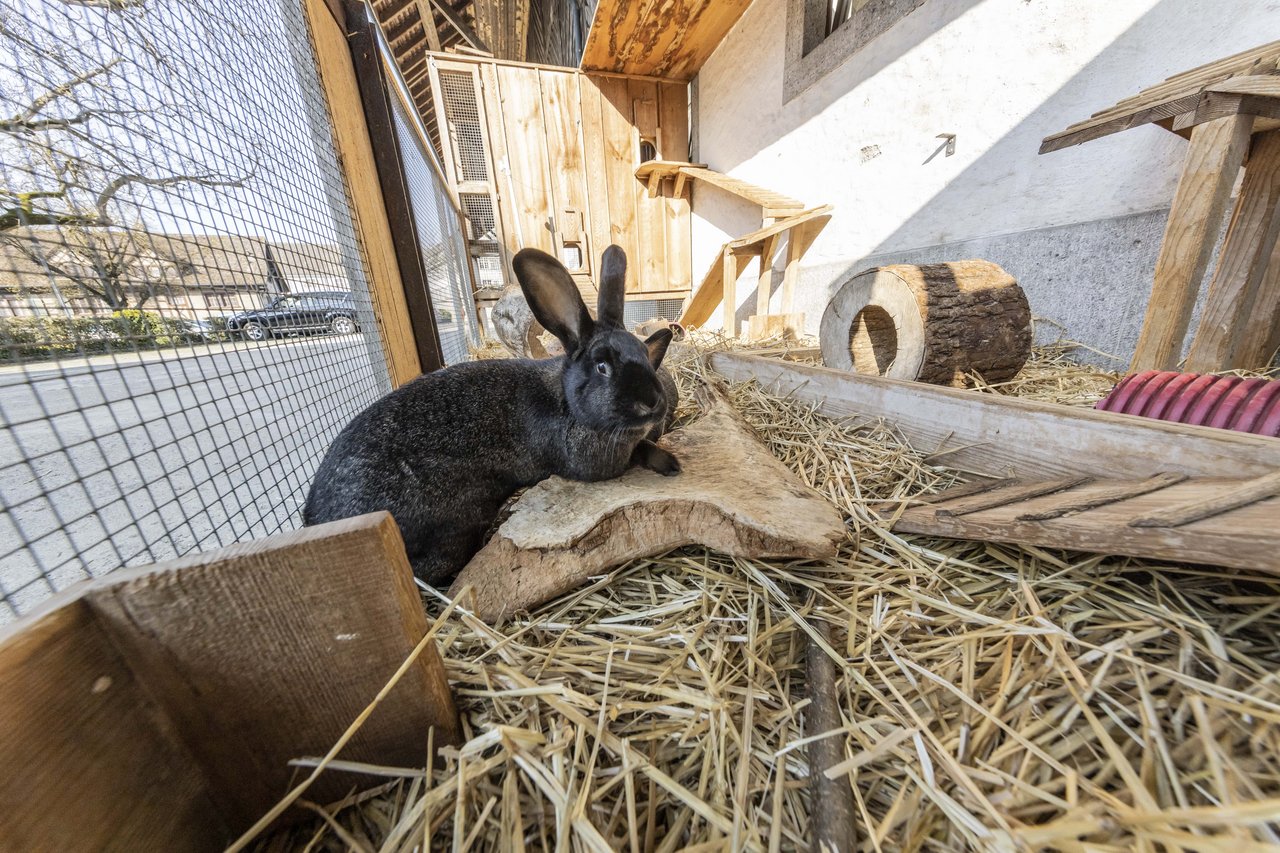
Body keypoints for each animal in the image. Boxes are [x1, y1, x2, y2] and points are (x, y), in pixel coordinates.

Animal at [303, 245, 680, 587]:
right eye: (602, 367)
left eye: (645, 355)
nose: (653, 402)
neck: (567, 403)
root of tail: (315, 521)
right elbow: (636, 452)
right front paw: (669, 463)